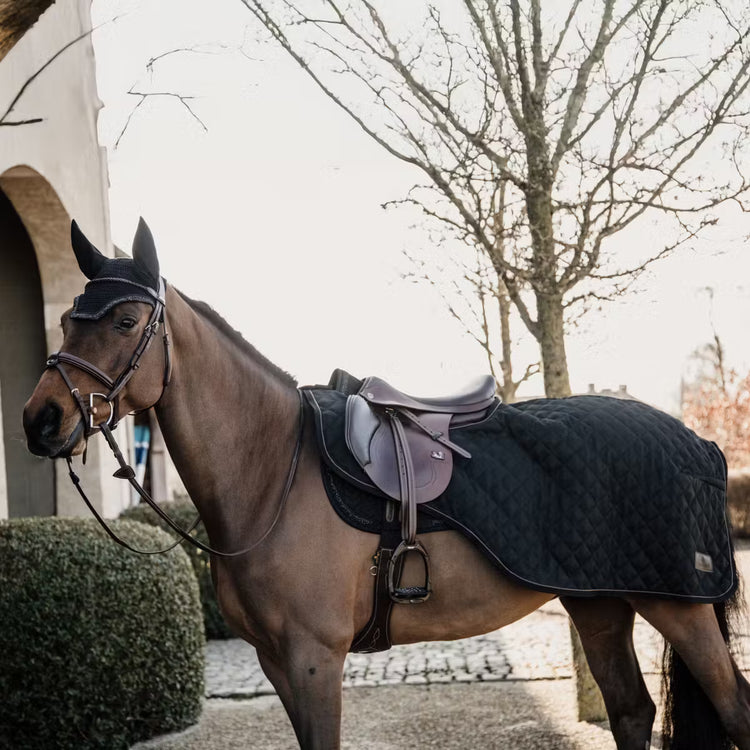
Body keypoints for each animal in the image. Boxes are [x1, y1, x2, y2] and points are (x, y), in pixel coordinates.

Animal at [22, 218, 750, 750]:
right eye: (66, 321)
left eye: (123, 322)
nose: (41, 419)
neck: (274, 473)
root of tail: (700, 444)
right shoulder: (277, 664)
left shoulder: (314, 660)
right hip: (600, 605)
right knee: (631, 711)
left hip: (679, 608)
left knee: (732, 709)